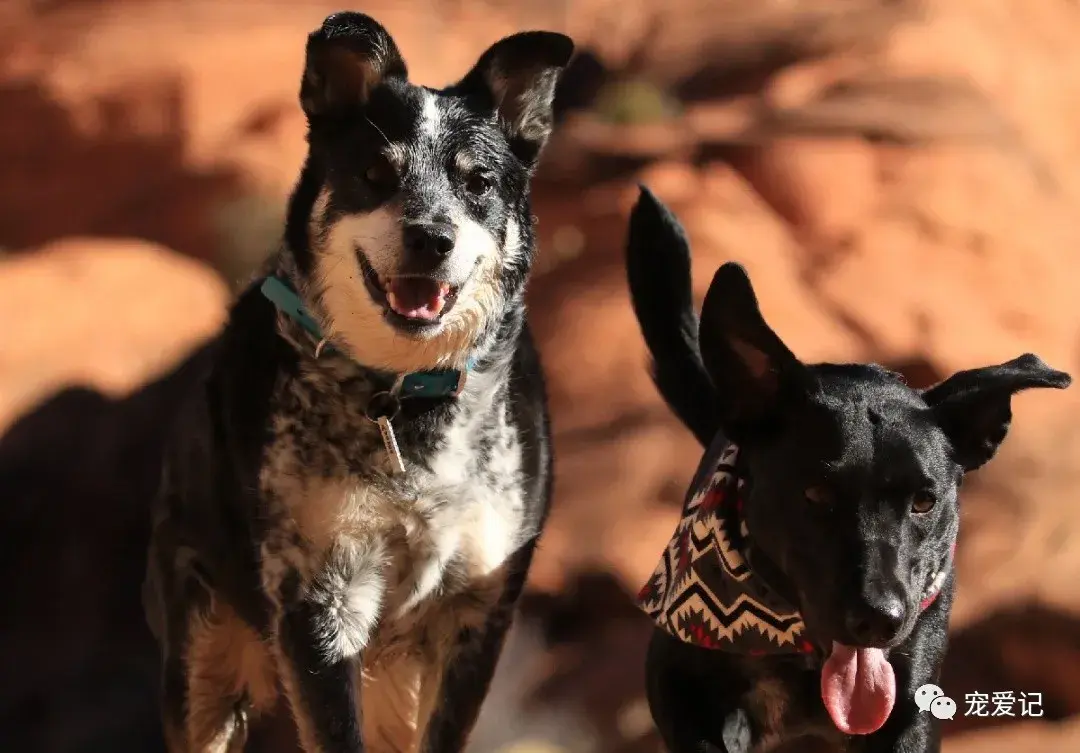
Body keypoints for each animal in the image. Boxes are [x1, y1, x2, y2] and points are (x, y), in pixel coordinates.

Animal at [143, 11, 574, 751]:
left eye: (478, 183)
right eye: (376, 172)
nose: (430, 237)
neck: (404, 397)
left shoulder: (479, 606)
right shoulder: (317, 601)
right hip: (203, 658)